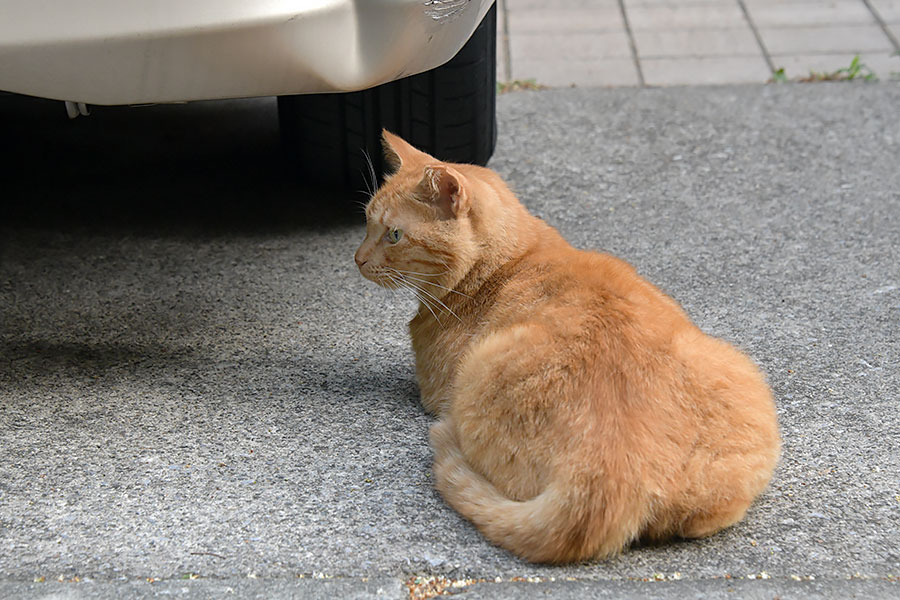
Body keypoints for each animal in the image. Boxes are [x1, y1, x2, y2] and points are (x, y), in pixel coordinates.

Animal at [356, 130, 776, 564]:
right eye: (366, 222)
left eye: (394, 235)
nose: (357, 259)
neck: (510, 261)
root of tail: (607, 471)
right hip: (737, 370)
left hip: (478, 368)